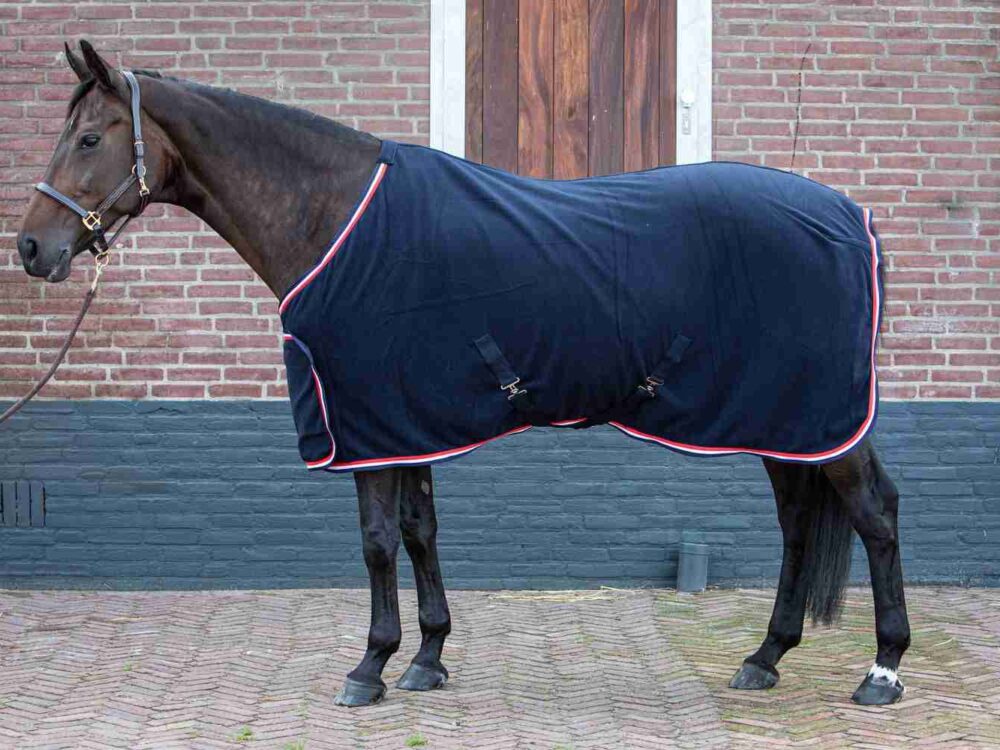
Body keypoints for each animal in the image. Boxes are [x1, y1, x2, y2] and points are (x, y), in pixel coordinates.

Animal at [14, 41, 910, 708]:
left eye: (89, 138)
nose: (31, 248)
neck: (335, 217)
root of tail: (854, 217)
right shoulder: (406, 419)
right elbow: (420, 532)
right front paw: (428, 658)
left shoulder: (369, 419)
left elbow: (377, 543)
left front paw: (369, 667)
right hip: (784, 418)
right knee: (798, 526)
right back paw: (766, 657)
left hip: (821, 420)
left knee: (875, 515)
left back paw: (883, 670)